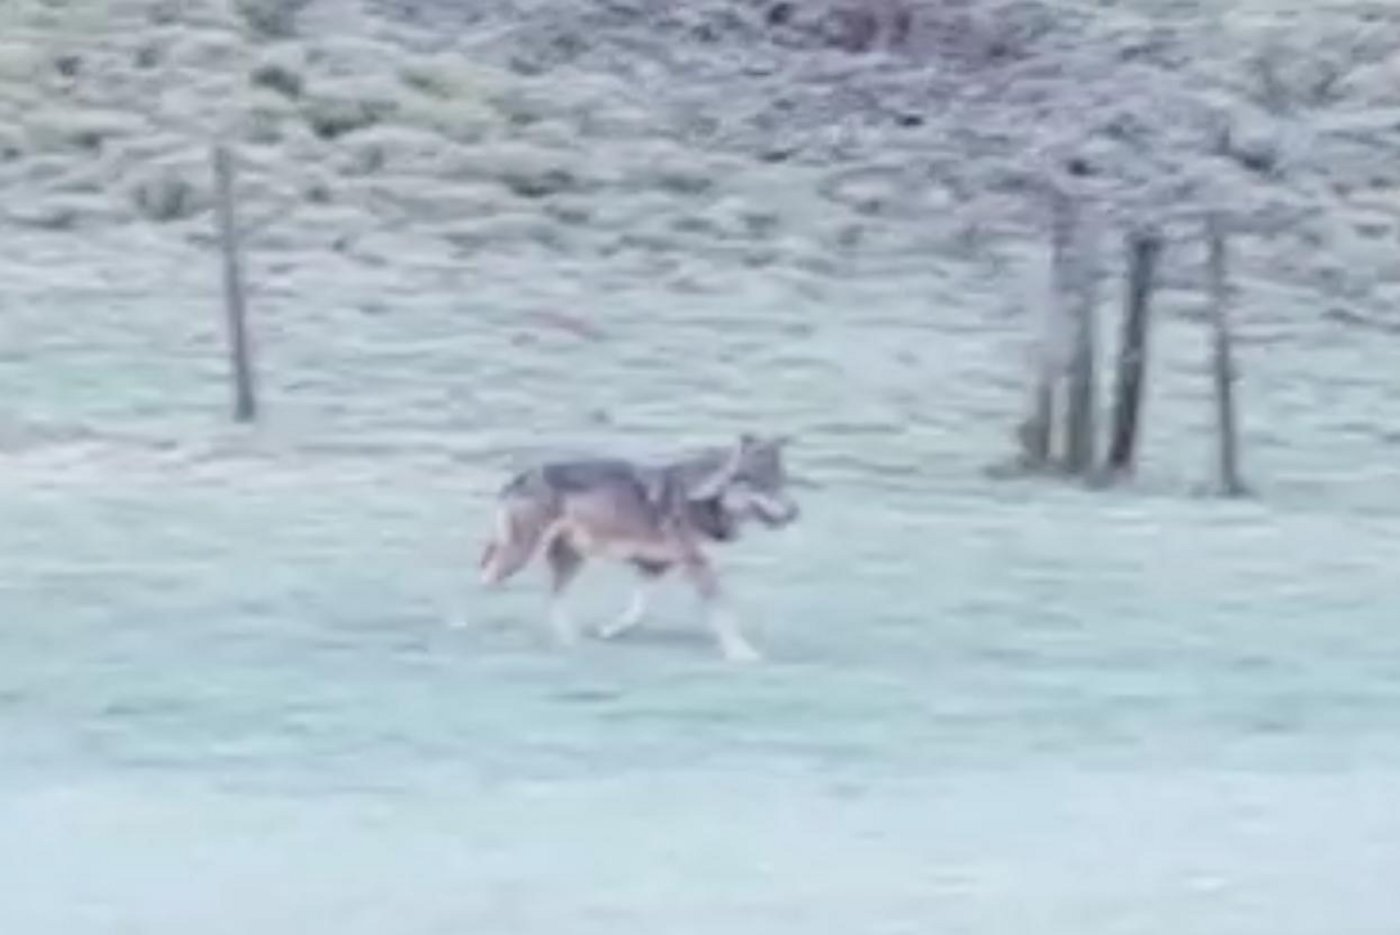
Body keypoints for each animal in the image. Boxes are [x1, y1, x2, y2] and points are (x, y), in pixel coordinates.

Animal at [478, 433, 800, 662]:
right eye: (761, 485)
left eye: (783, 482)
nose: (796, 513)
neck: (702, 500)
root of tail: (522, 476)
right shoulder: (698, 567)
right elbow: (723, 614)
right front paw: (741, 653)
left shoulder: (654, 567)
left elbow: (636, 611)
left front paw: (610, 631)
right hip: (521, 554)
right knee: (485, 578)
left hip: (569, 558)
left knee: (551, 598)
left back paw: (569, 641)